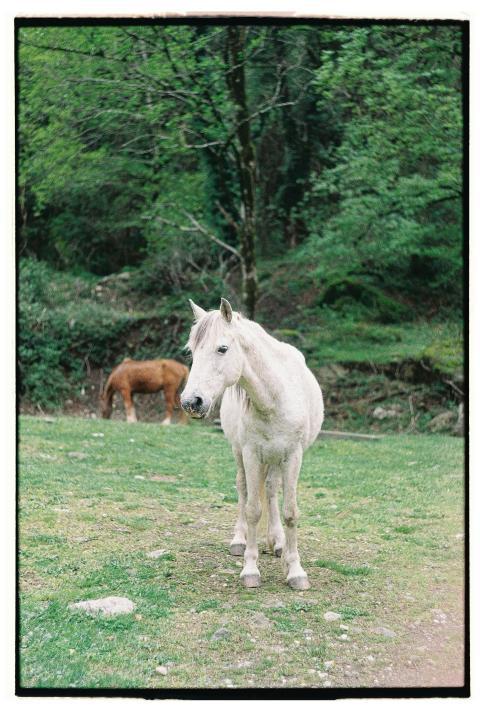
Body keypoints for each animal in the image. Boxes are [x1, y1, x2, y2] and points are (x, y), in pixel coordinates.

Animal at [181, 298, 324, 590]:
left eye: (222, 348)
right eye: (191, 352)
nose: (191, 402)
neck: (274, 397)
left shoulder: (293, 455)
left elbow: (290, 511)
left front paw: (295, 570)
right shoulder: (251, 454)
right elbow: (252, 509)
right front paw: (250, 568)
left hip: (276, 459)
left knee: (270, 489)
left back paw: (277, 542)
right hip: (241, 454)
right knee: (244, 488)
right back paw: (240, 540)